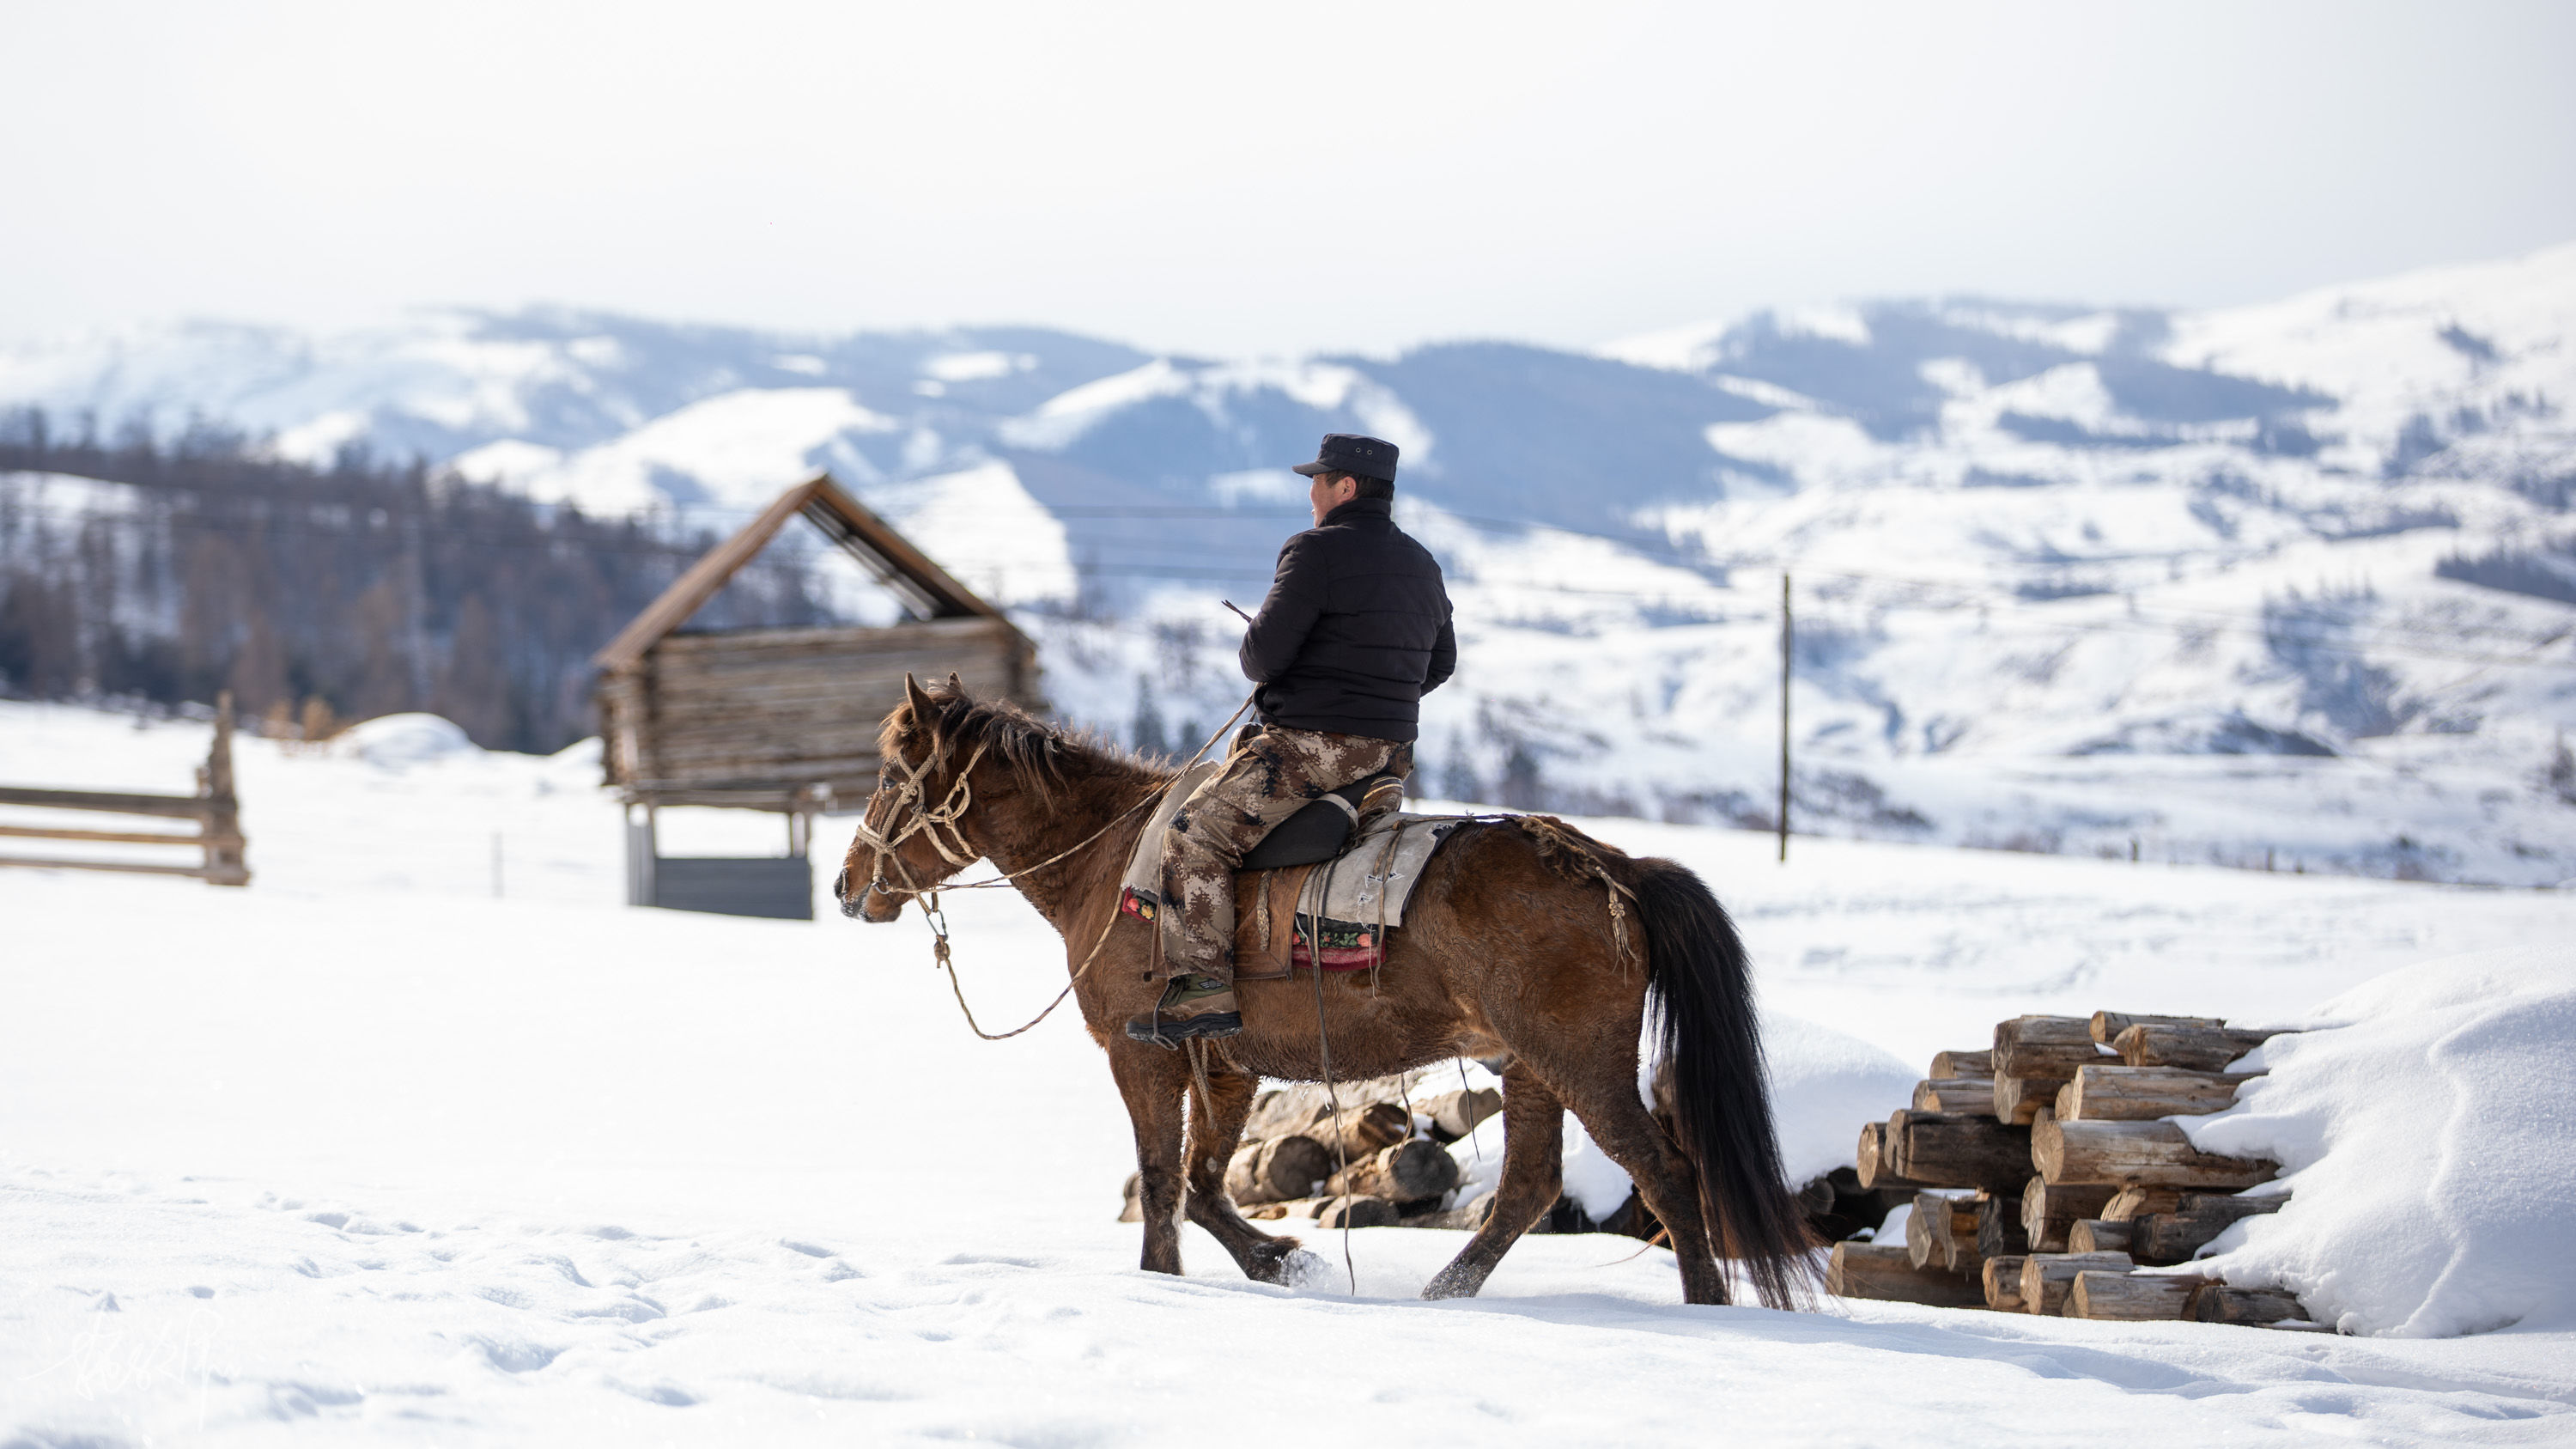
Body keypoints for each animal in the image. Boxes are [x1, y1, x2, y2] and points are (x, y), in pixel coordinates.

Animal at [835, 670, 1803, 1304]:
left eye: (887, 776)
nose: (848, 884)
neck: (1110, 858)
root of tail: (1610, 866)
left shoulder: (1142, 1055)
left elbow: (1160, 1177)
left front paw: (1162, 1282)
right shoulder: (1224, 1063)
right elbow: (1203, 1182)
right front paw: (1278, 1262)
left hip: (1580, 1060)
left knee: (1666, 1172)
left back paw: (1707, 1307)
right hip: (1529, 1064)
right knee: (1528, 1186)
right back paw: (1445, 1291)